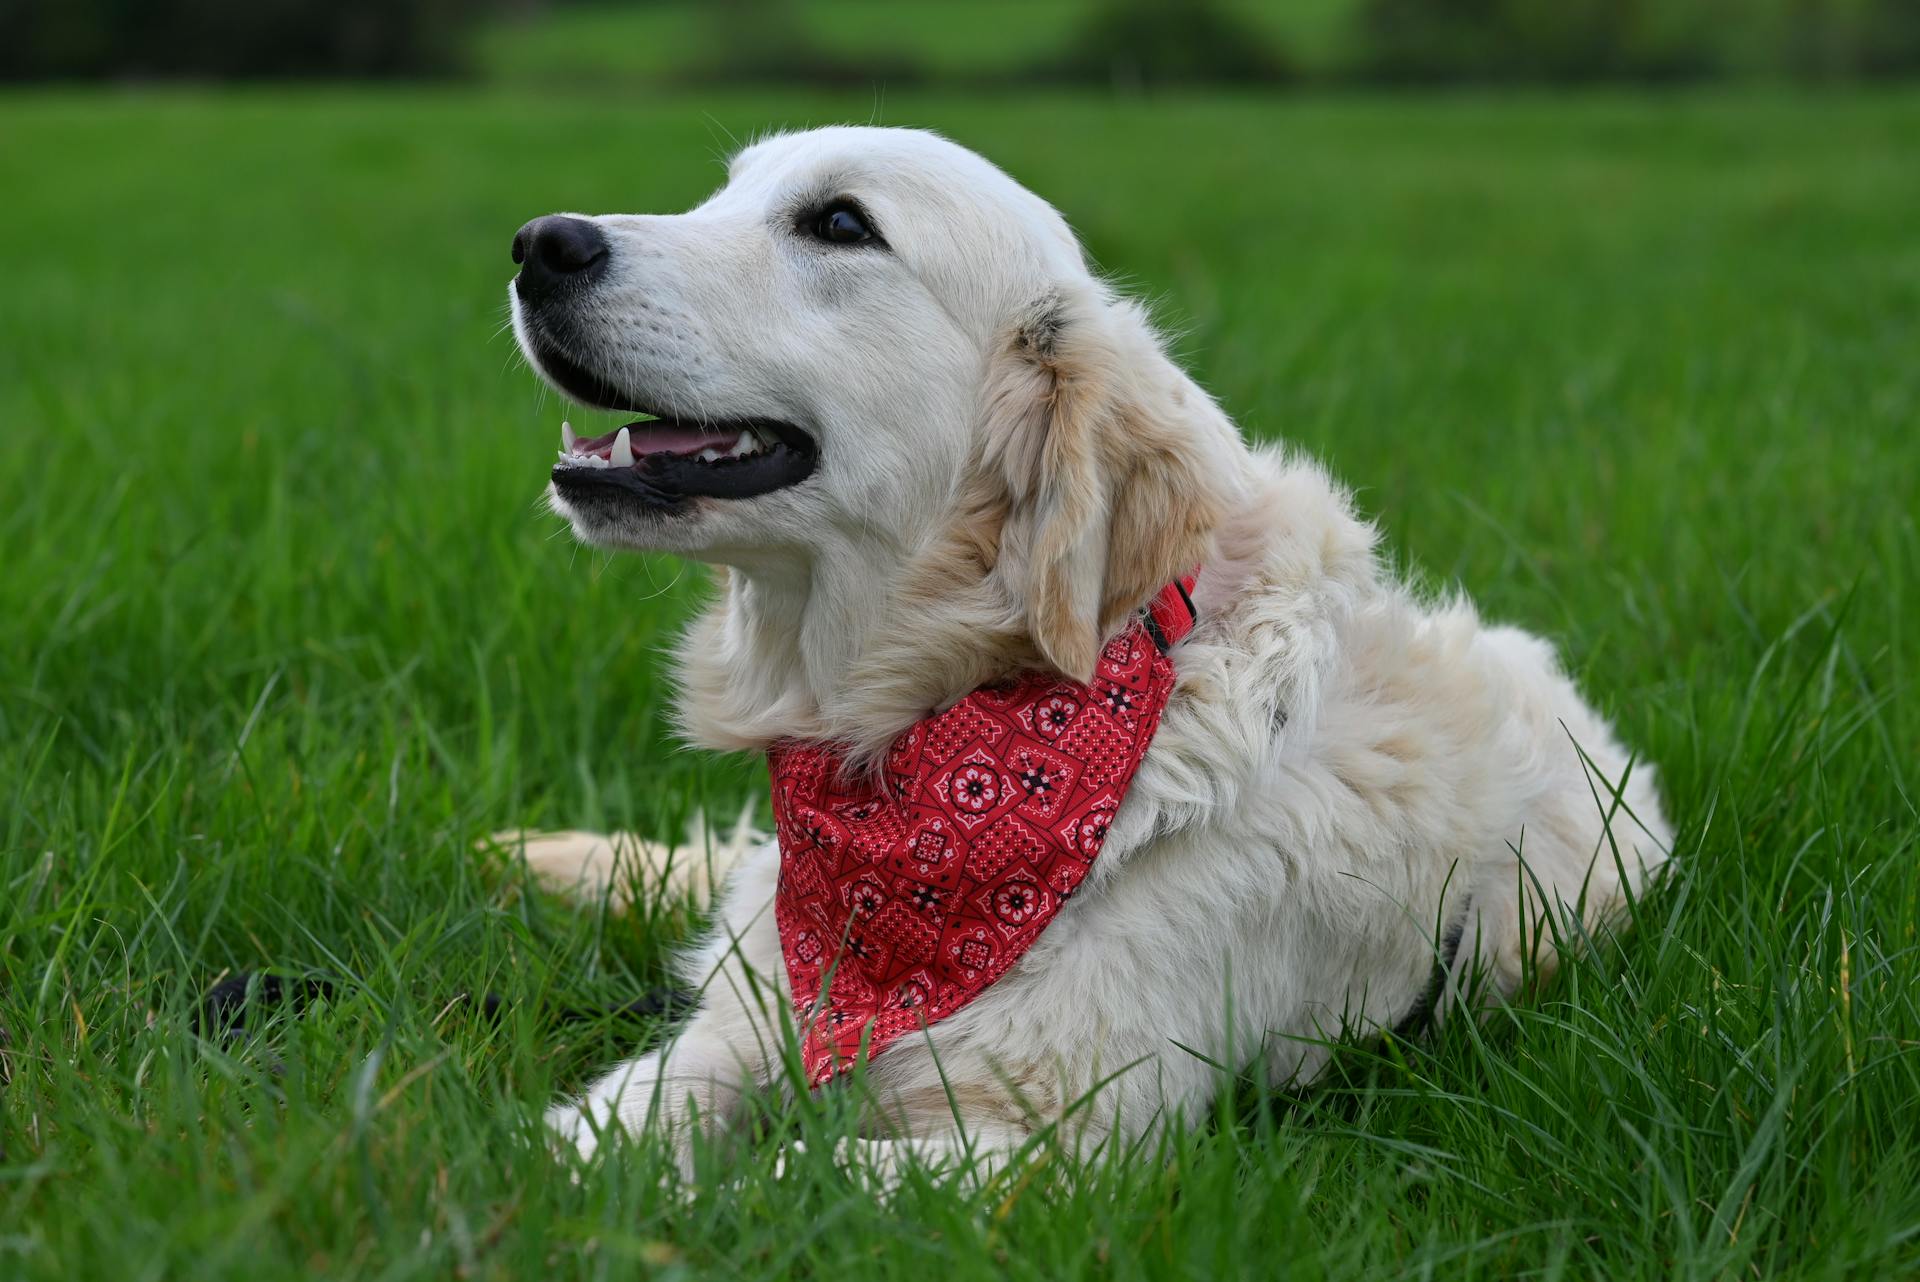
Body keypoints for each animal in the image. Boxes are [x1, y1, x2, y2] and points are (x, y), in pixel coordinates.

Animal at [503, 124, 1674, 1174]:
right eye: (724, 194)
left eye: (839, 224)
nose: (539, 242)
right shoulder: (737, 1032)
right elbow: (582, 1138)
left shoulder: (1066, 1140)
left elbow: (785, 1180)